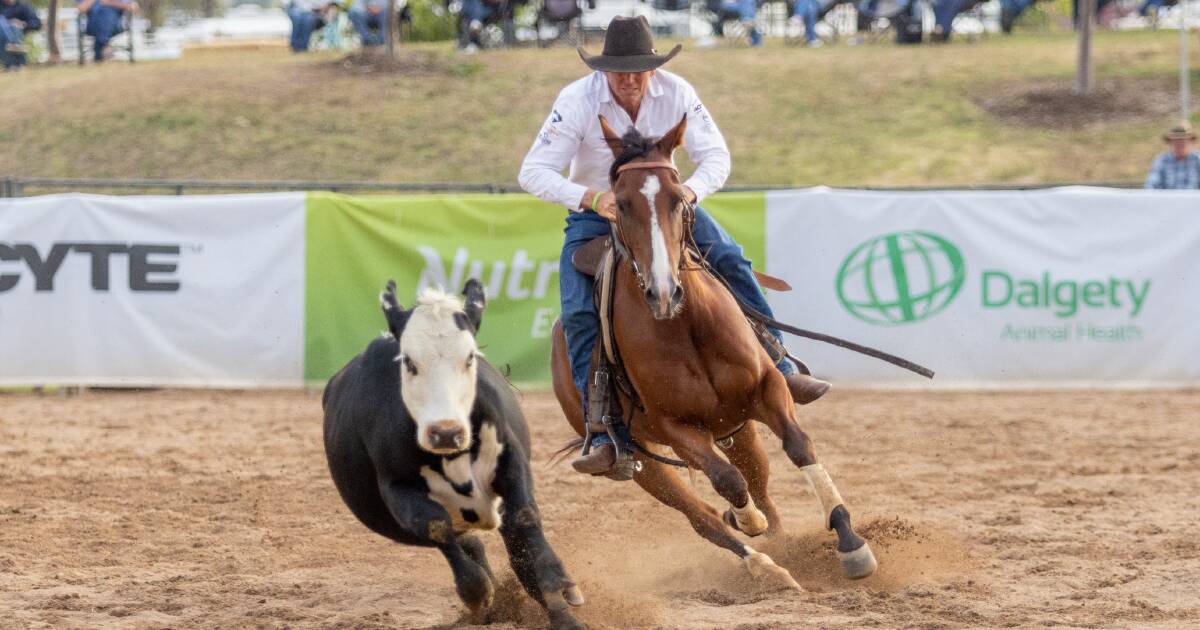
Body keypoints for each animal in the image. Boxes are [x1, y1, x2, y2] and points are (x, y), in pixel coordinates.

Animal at [324, 279, 585, 628]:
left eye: (470, 357)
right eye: (408, 361)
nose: (446, 432)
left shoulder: (511, 460)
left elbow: (525, 516)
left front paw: (559, 593)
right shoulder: (397, 487)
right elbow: (437, 528)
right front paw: (477, 592)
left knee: (512, 541)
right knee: (464, 540)